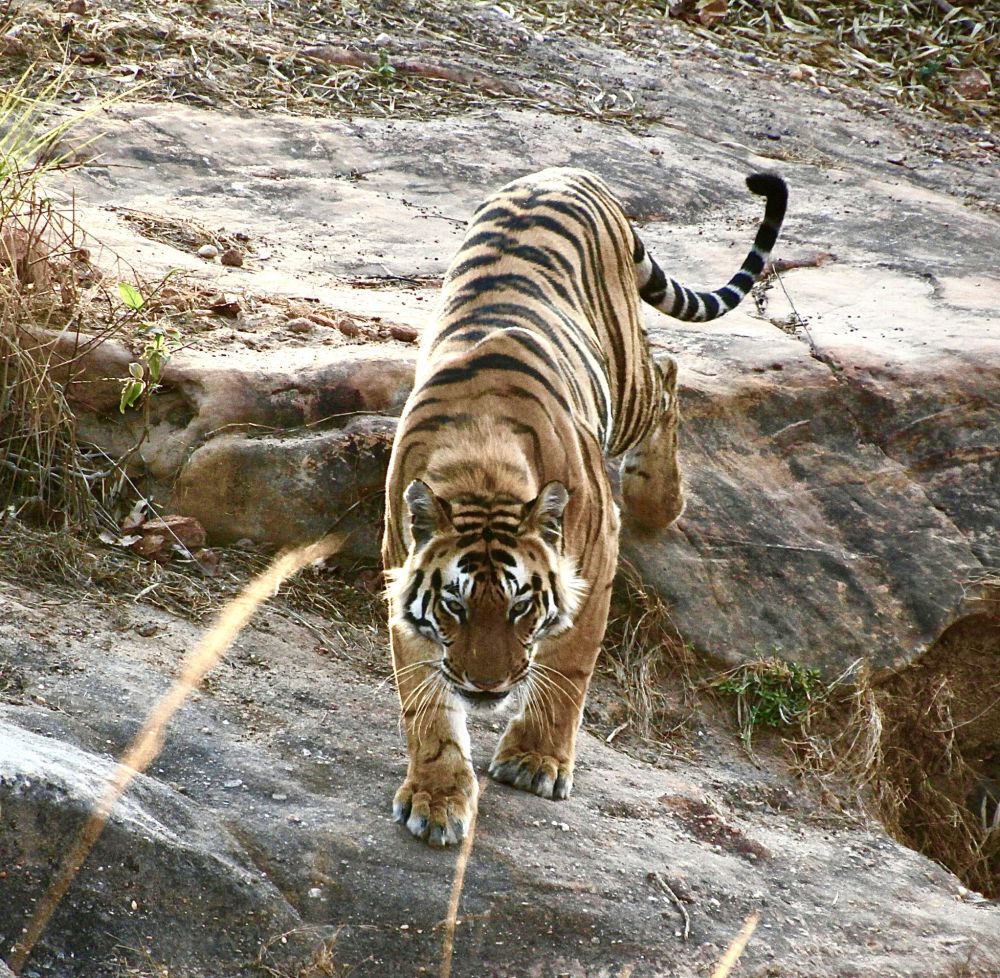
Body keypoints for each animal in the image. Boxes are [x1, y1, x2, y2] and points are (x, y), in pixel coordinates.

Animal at [382, 166, 787, 846]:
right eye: (455, 607)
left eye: (521, 605)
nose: (488, 686)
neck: (480, 472)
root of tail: (568, 172)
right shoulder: (400, 569)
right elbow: (425, 702)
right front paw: (437, 799)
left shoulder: (595, 560)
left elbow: (570, 667)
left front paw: (534, 762)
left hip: (628, 387)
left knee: (667, 370)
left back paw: (660, 499)